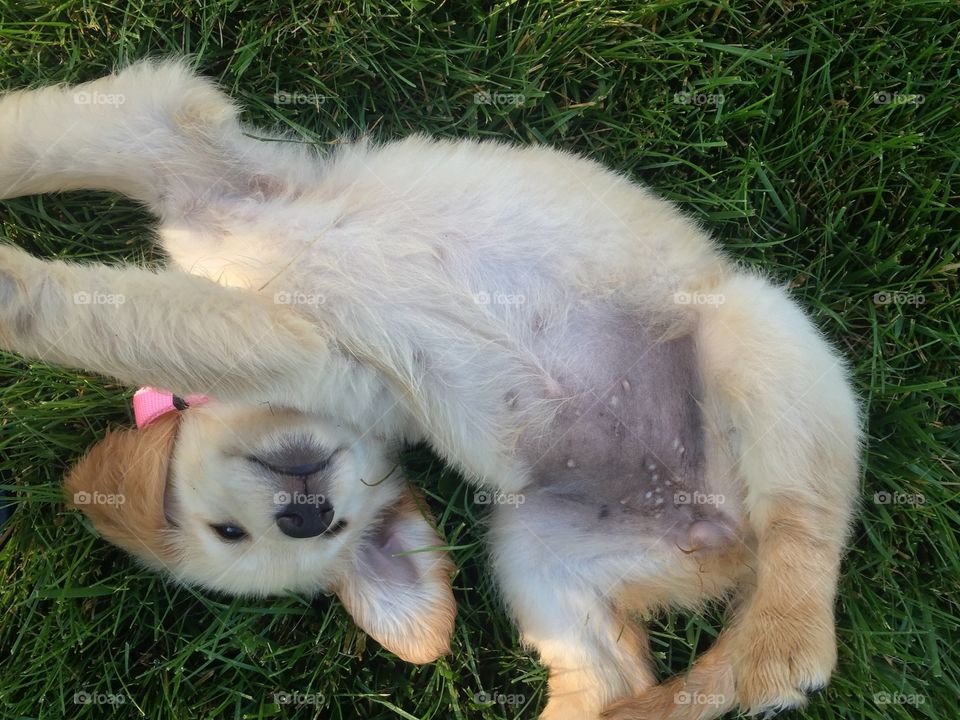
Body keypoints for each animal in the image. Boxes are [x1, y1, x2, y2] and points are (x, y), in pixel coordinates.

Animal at [0, 63, 860, 720]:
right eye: (234, 535)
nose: (307, 517)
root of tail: (720, 529)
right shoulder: (303, 338)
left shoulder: (182, 147)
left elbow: (88, 253)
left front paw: (12, 285)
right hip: (536, 549)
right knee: (611, 679)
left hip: (754, 336)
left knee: (802, 552)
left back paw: (772, 640)